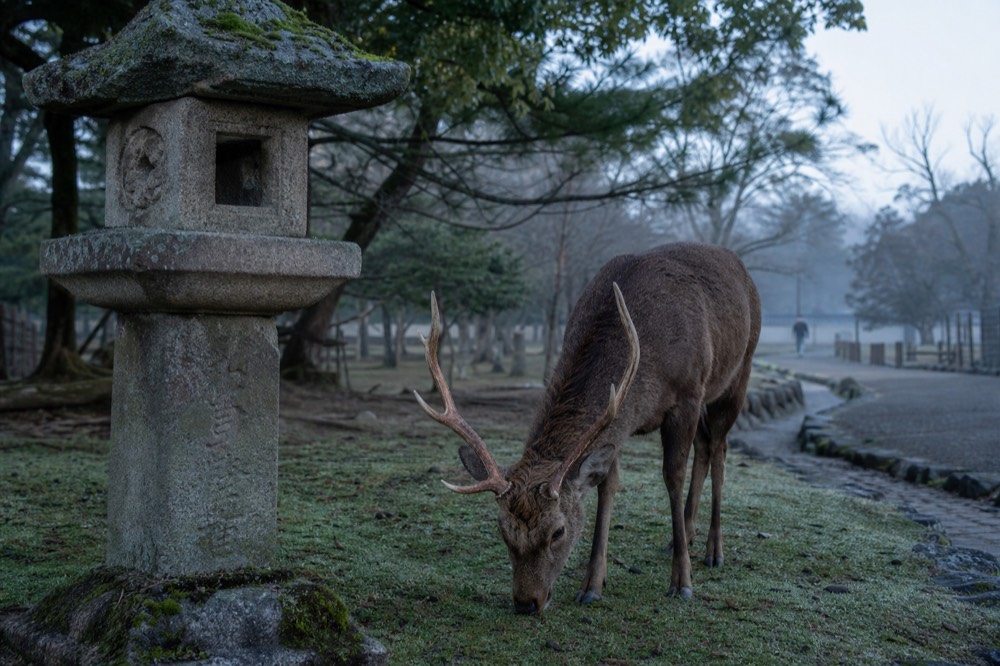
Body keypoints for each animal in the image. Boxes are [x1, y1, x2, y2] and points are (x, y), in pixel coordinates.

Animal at [414, 242, 761, 614]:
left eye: (558, 532)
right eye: (502, 529)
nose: (526, 603)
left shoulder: (688, 395)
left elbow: (672, 476)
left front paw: (682, 582)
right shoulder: (617, 423)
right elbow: (607, 486)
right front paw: (592, 584)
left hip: (737, 376)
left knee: (719, 449)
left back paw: (713, 551)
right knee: (704, 447)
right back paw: (684, 534)